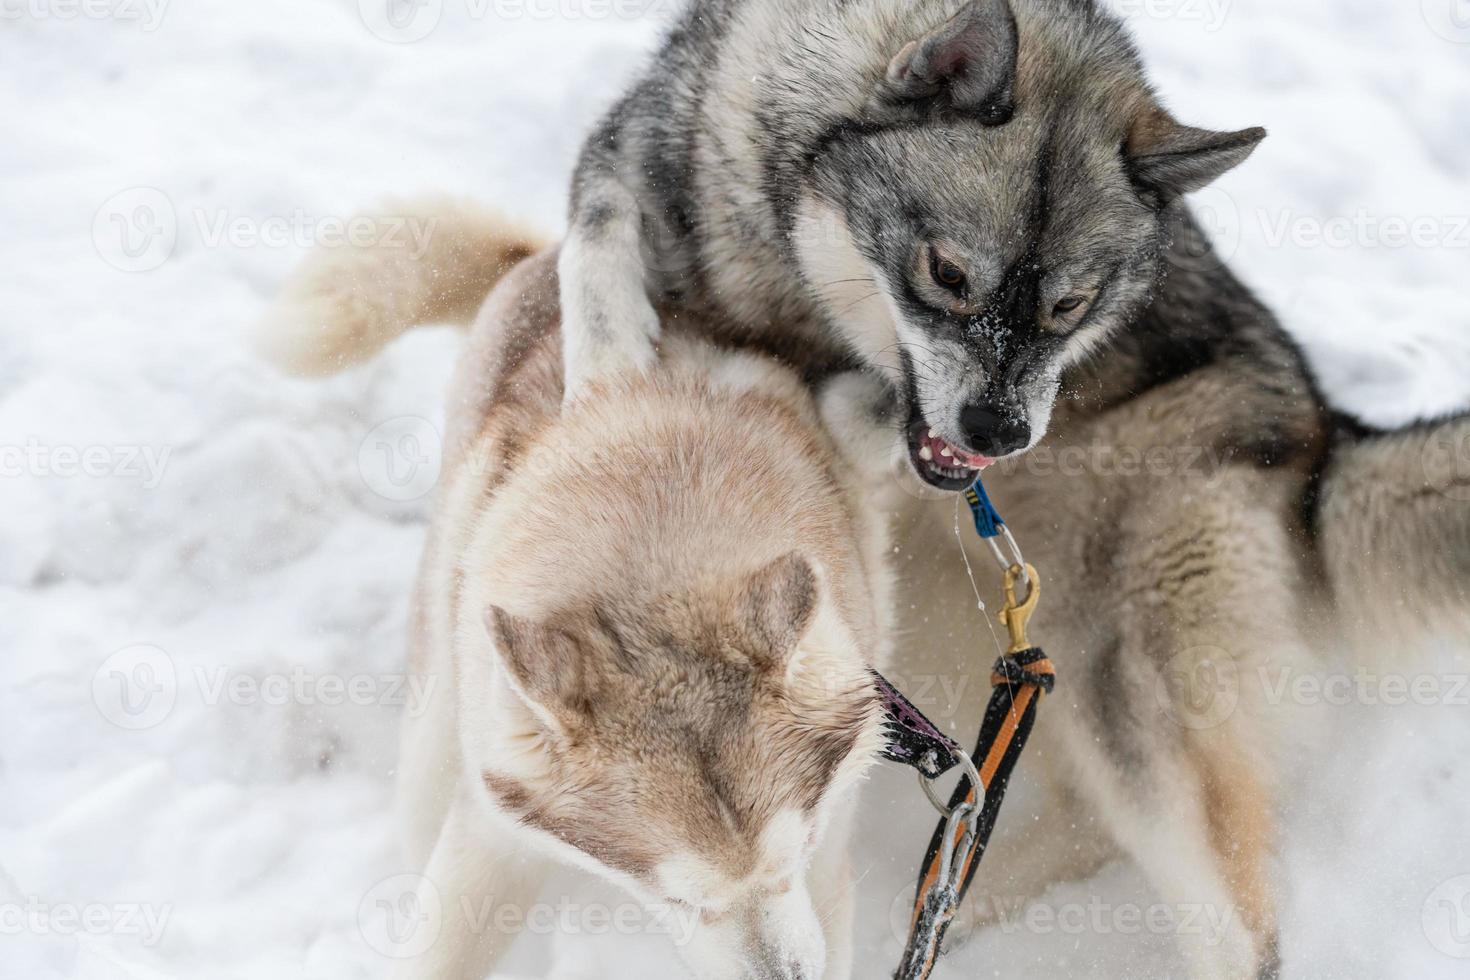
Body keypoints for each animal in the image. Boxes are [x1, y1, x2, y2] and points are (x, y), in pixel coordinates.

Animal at [261, 202, 893, 975]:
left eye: (793, 856)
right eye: (681, 898)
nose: (788, 978)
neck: (654, 548)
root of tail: (544, 253)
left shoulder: (829, 840)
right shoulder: (491, 835)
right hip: (439, 729)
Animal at [558, 1, 1470, 980]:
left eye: (1070, 308)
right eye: (947, 274)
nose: (1000, 434)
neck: (792, 287)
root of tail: (1319, 436)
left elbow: (856, 407)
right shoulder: (641, 155)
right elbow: (595, 241)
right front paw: (603, 378)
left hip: (1132, 686)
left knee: (1231, 916)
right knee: (1034, 815)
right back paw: (952, 901)